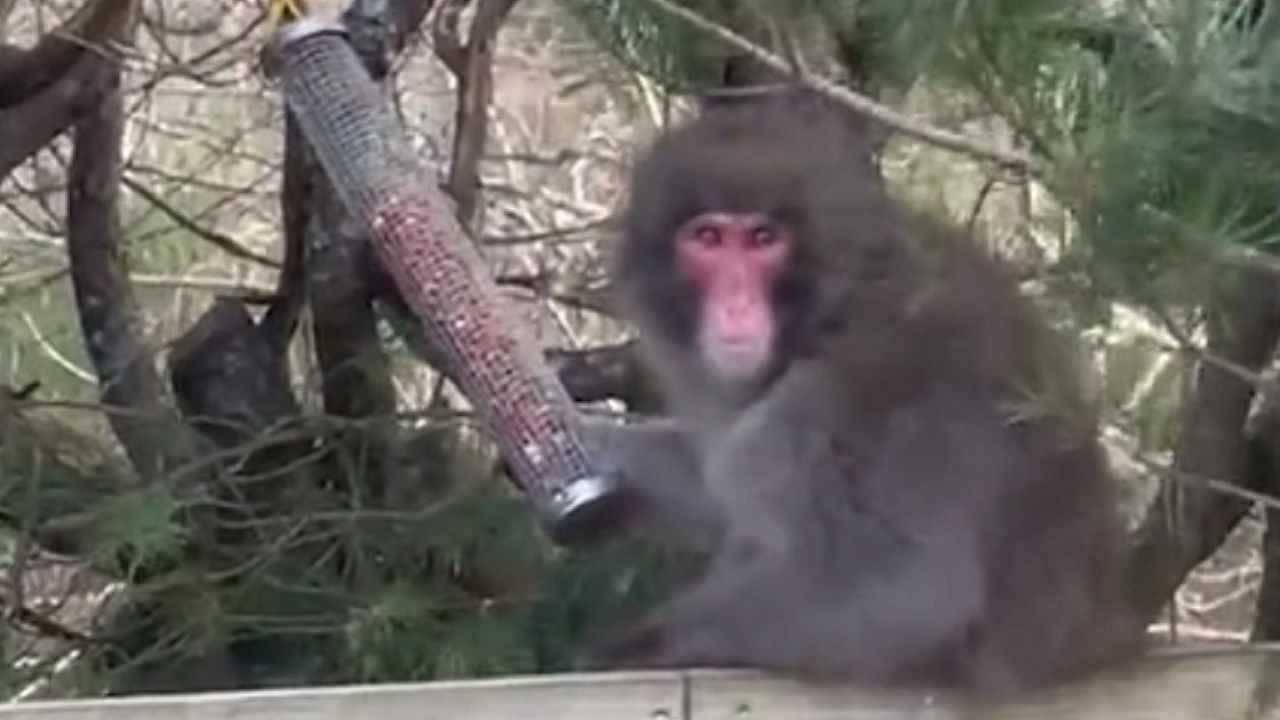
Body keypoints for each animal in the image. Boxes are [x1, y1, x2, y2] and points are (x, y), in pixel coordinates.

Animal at [579, 86, 1147, 696]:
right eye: (706, 238)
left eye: (762, 239)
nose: (735, 305)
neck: (819, 313)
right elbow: (713, 482)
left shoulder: (834, 395)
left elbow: (912, 585)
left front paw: (624, 648)